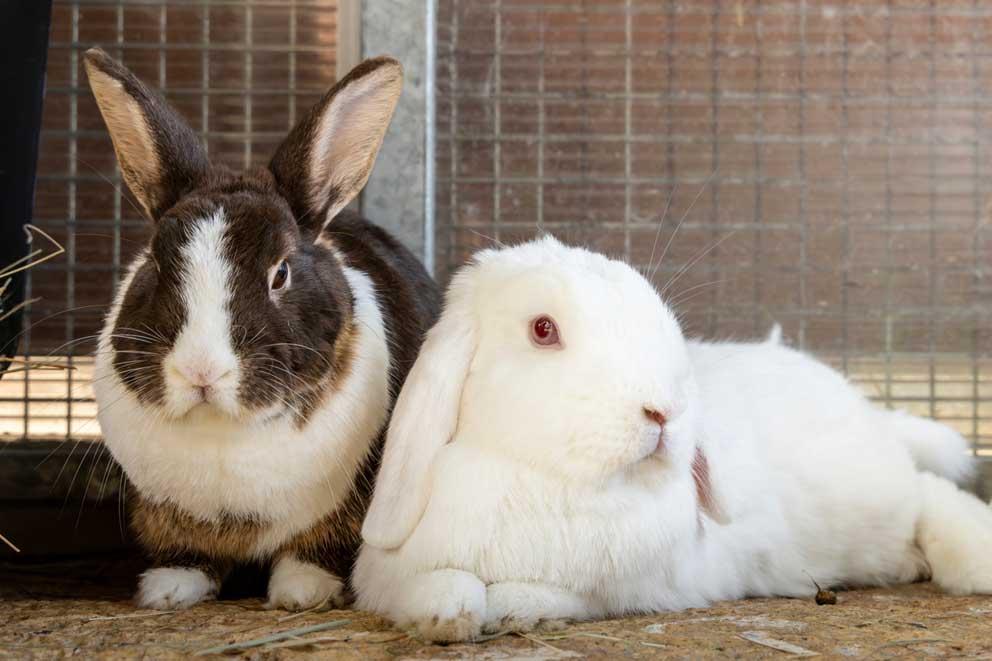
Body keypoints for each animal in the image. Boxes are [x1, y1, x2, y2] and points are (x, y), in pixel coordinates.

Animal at [85, 48, 441, 611]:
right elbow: (187, 551)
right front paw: (169, 589)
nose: (201, 371)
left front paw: (303, 592)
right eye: (156, 265)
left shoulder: (352, 508)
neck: (223, 431)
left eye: (281, 273)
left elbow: (319, 549)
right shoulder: (163, 512)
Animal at [354, 236, 992, 643]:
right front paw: (451, 616)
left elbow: (550, 594)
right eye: (542, 329)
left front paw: (511, 607)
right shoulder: (397, 578)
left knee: (930, 492)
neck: (549, 479)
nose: (664, 411)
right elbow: (438, 587)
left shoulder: (626, 585)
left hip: (881, 494)